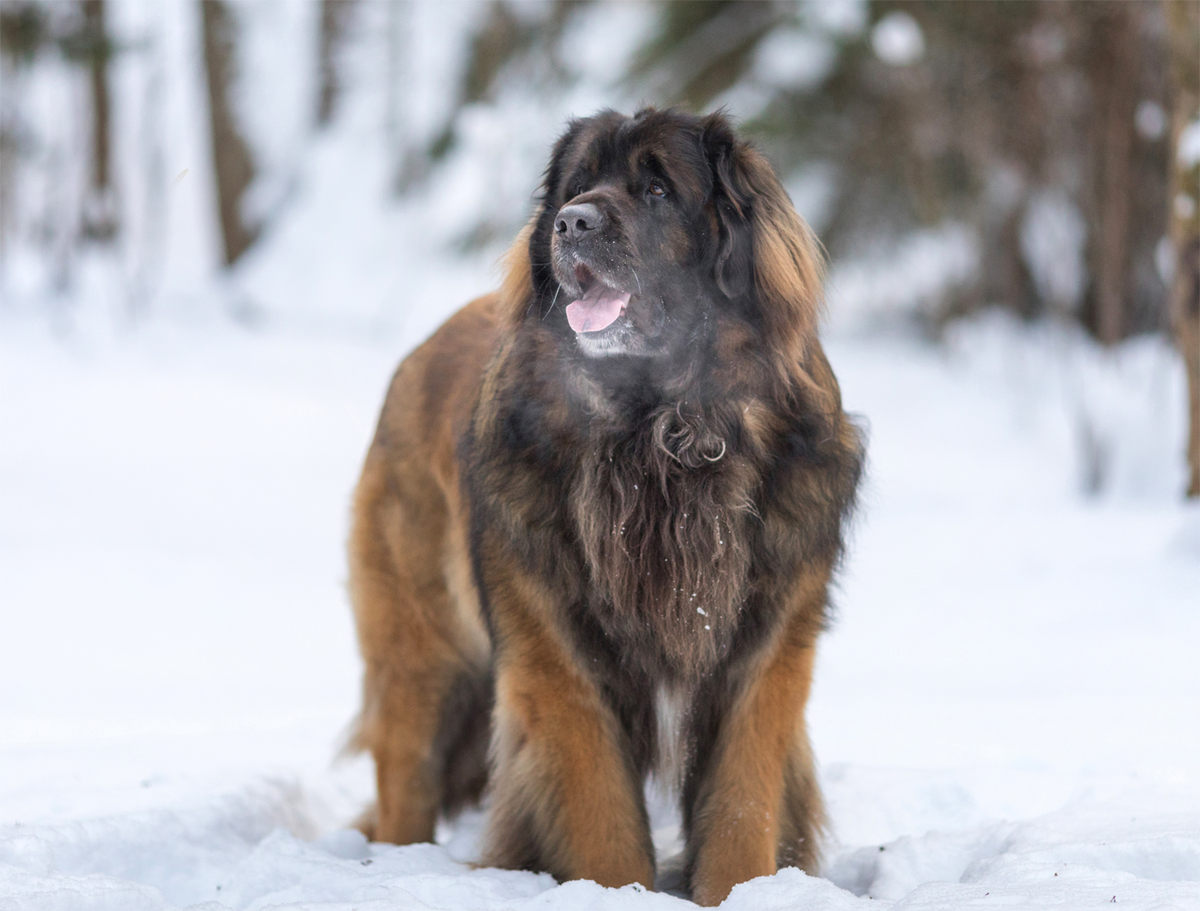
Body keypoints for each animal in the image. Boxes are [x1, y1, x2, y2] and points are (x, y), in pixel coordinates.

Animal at [348, 106, 864, 907]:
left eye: (657, 188)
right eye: (577, 186)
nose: (571, 223)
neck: (659, 438)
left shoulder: (764, 658)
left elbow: (742, 810)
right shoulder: (558, 661)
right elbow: (603, 821)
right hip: (421, 651)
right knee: (407, 770)